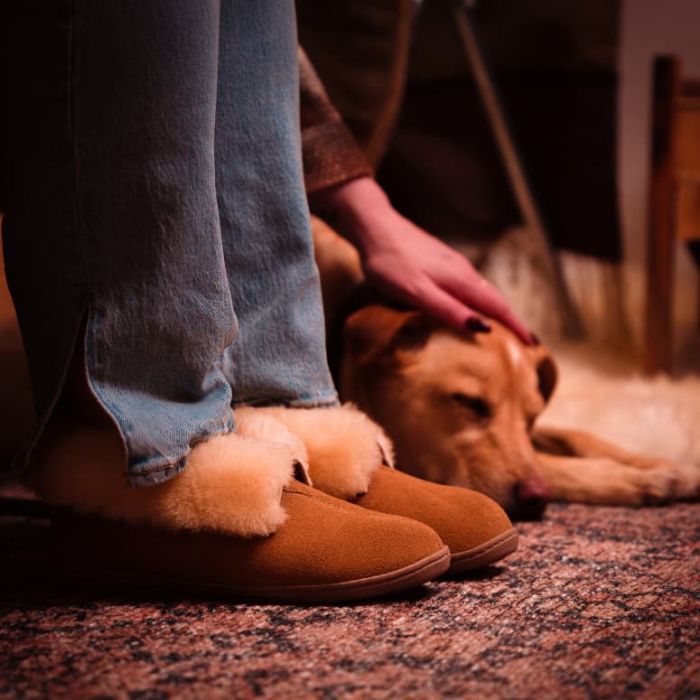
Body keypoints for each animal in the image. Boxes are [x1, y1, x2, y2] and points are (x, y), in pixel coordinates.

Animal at [314, 216, 700, 516]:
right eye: (468, 402)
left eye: (531, 418)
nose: (536, 499)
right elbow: (550, 464)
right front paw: (639, 479)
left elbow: (575, 434)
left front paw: (669, 466)